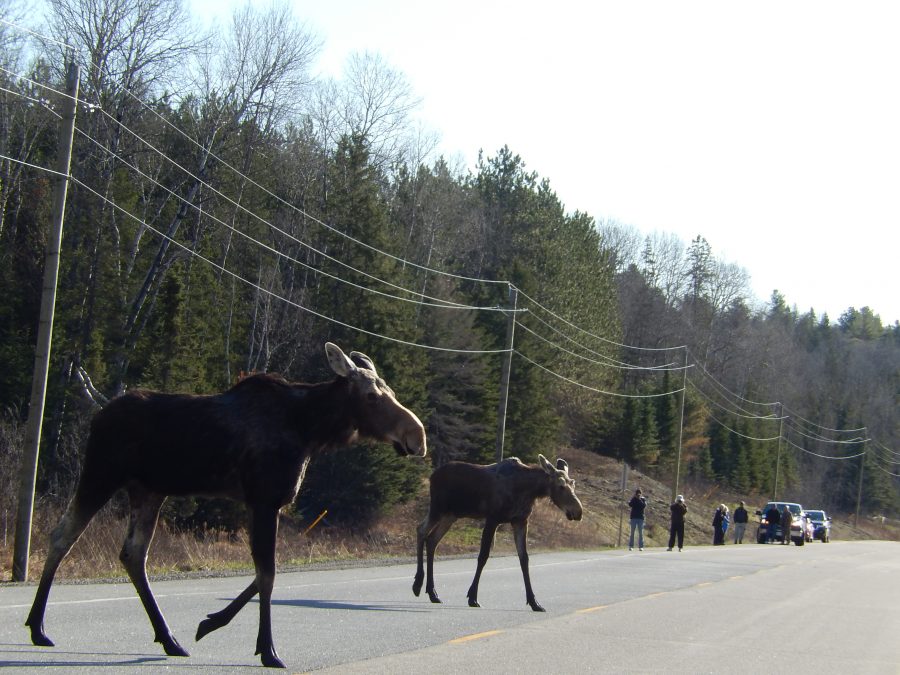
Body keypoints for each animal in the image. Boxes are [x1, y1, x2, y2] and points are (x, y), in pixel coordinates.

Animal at [24, 346, 426, 668]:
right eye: (372, 396)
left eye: (389, 390)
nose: (417, 436)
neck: (310, 431)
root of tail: (97, 412)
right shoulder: (265, 500)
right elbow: (268, 574)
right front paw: (268, 650)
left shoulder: (258, 503)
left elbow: (263, 573)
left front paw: (211, 622)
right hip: (101, 473)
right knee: (63, 535)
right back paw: (38, 627)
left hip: (148, 490)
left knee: (133, 554)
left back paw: (169, 639)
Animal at [414, 454, 584, 612]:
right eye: (561, 485)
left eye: (573, 483)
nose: (578, 511)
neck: (527, 491)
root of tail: (432, 476)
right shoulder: (492, 519)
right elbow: (483, 556)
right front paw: (473, 597)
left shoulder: (520, 521)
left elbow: (524, 559)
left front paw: (534, 602)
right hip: (438, 508)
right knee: (421, 530)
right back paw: (417, 585)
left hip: (451, 515)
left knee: (432, 540)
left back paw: (432, 593)